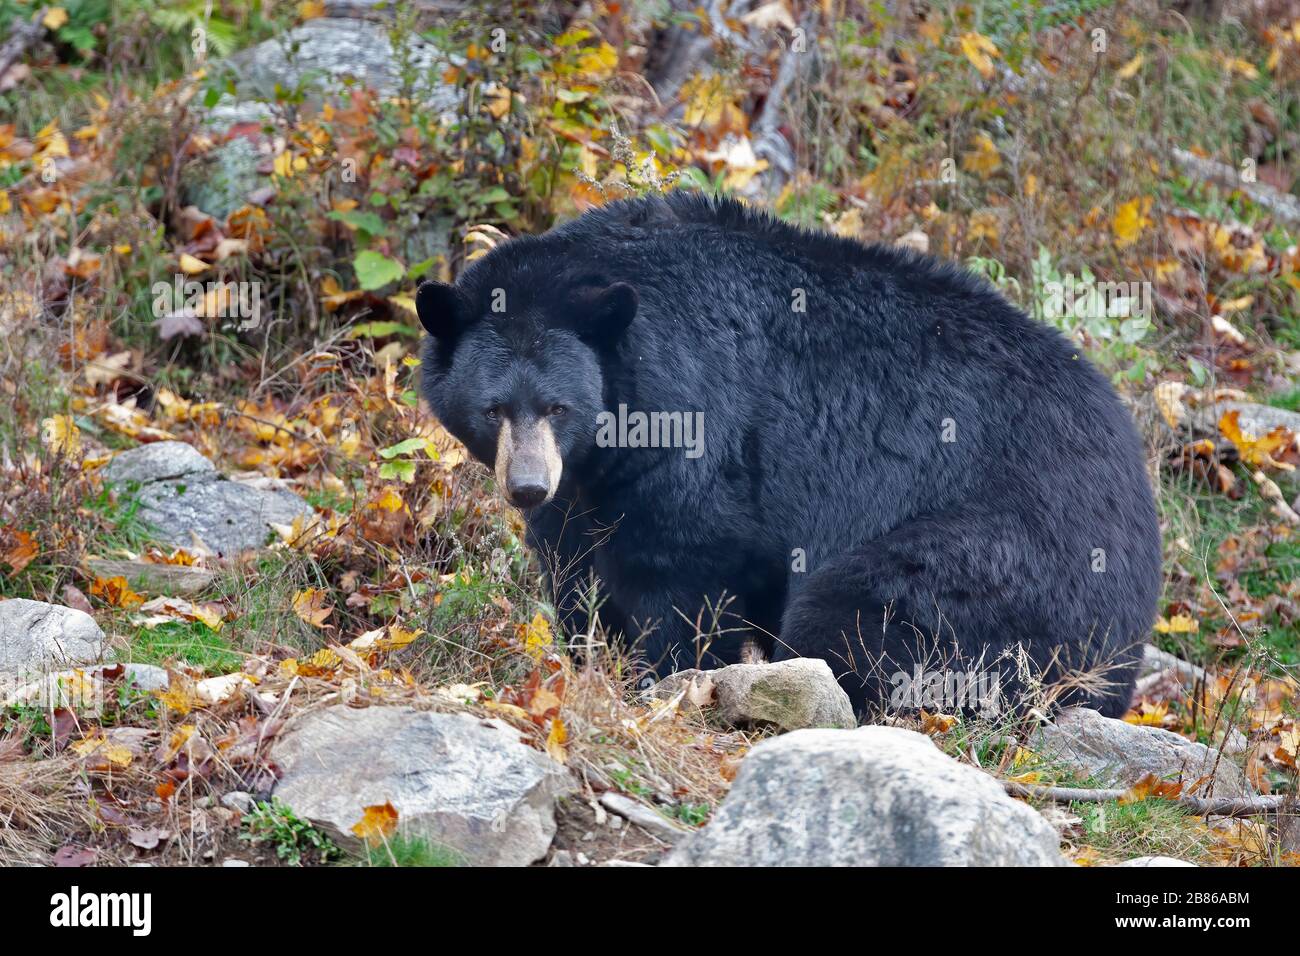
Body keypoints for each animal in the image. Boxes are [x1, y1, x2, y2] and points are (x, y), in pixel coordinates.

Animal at [416, 192, 1161, 718]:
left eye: (558, 406)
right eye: (493, 408)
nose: (527, 485)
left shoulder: (703, 434)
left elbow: (683, 570)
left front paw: (662, 676)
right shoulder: (586, 483)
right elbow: (574, 564)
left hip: (1003, 568)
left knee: (856, 610)